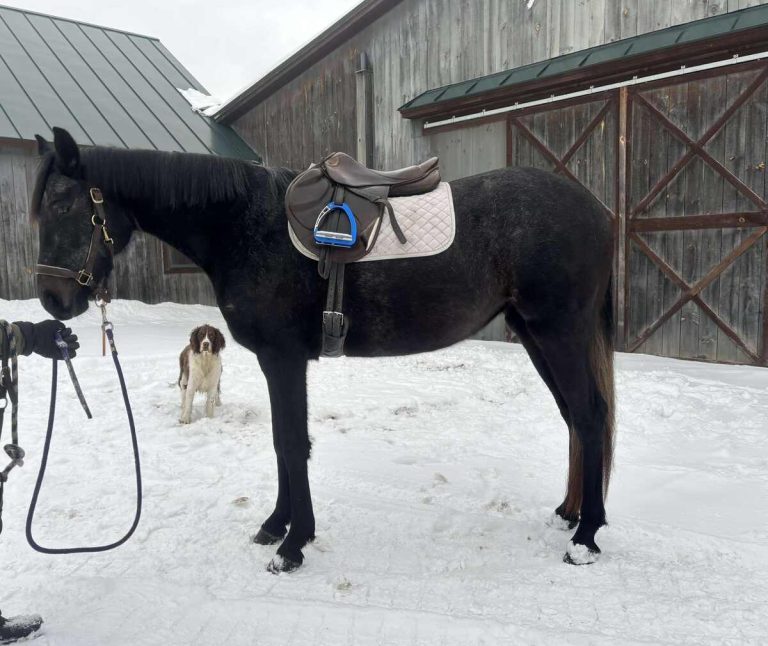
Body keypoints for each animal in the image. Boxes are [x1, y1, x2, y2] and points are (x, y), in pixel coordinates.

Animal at [31, 129, 616, 576]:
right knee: (574, 418)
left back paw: (586, 538)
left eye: (63, 204)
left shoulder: (283, 358)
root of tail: (596, 210)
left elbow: (292, 444)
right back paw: (568, 514)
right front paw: (276, 526)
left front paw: (293, 545)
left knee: (589, 417)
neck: (243, 224)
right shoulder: (275, 362)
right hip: (535, 334)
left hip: (558, 331)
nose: (53, 301)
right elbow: (280, 442)